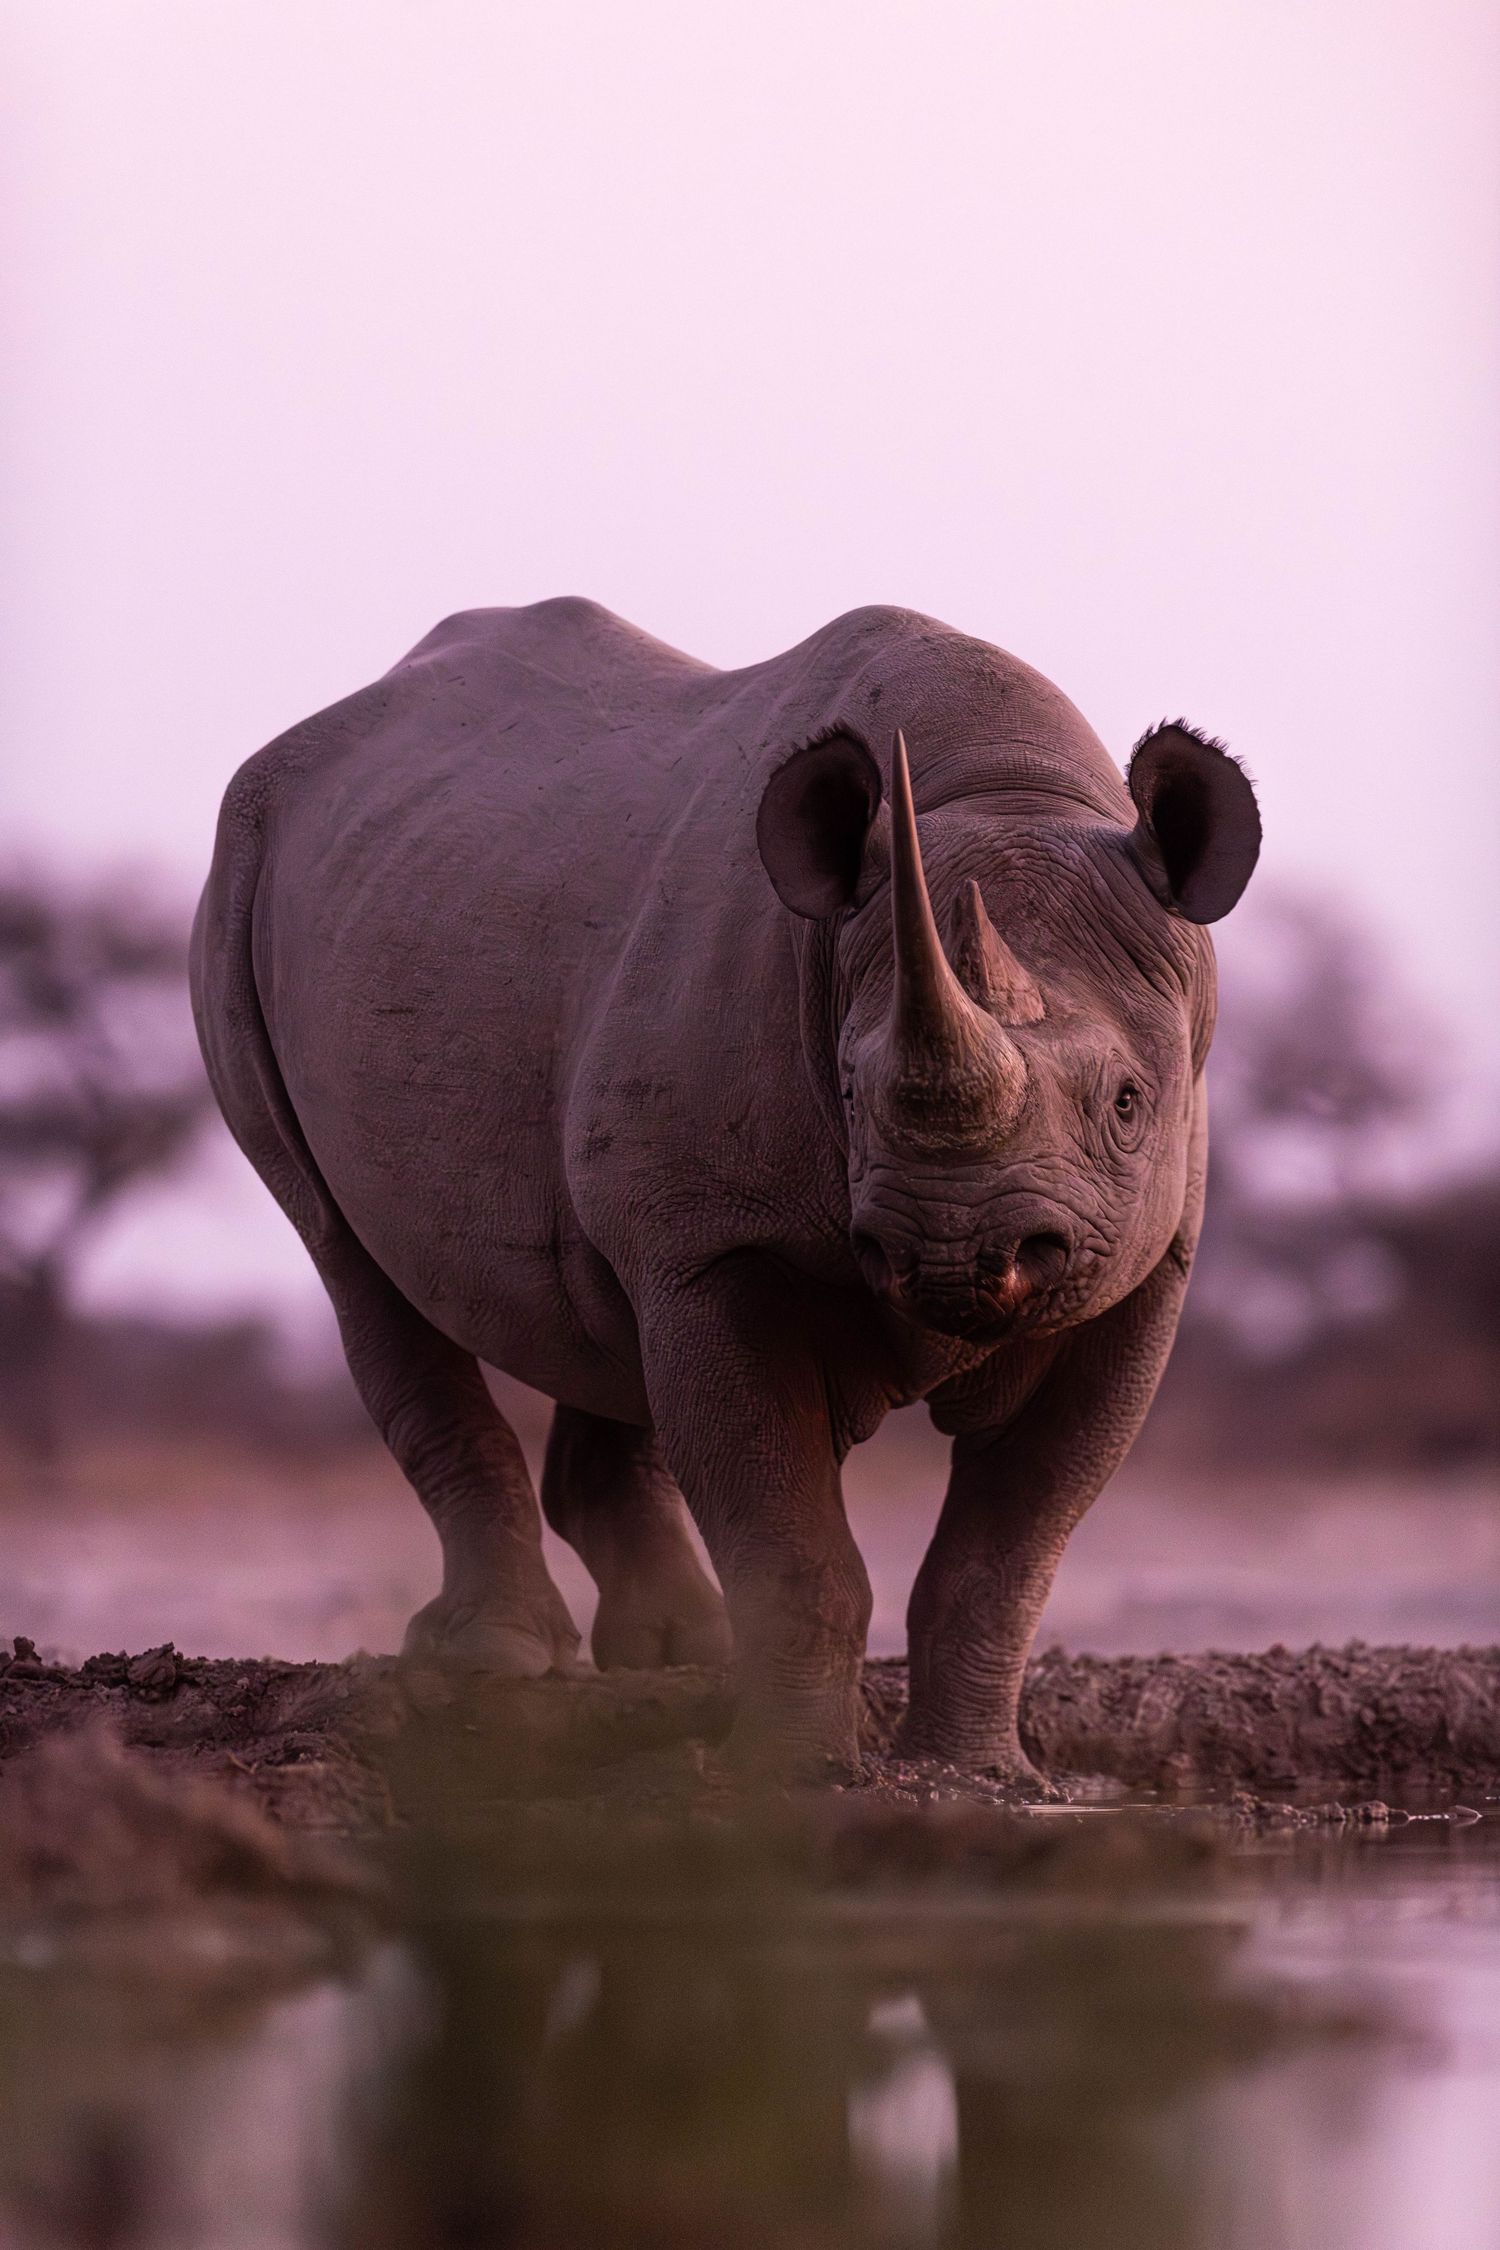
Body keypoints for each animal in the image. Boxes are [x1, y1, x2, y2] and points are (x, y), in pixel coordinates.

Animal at [192, 599, 1260, 1782]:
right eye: (852, 1087)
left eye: (1128, 1102)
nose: (957, 1252)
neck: (1004, 794)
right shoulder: (719, 1246)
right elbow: (792, 1541)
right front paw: (794, 1777)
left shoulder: (1143, 1267)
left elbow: (1010, 1551)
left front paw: (980, 1773)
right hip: (237, 875)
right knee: (350, 1259)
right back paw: (499, 1666)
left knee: (603, 1312)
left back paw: (676, 1661)